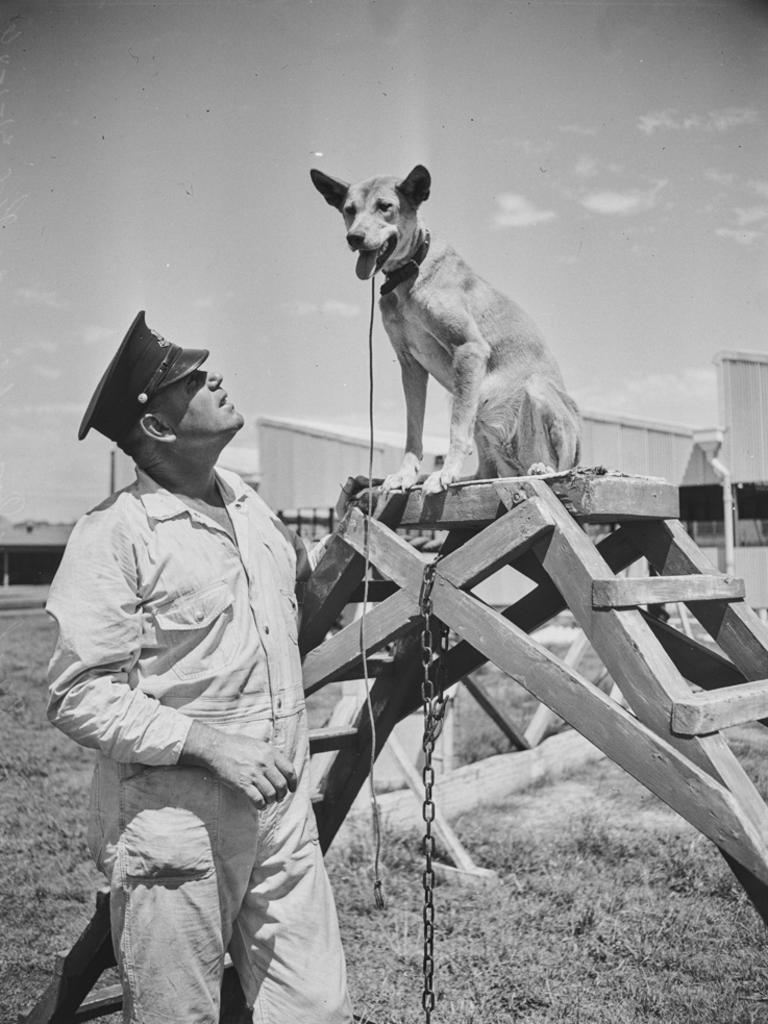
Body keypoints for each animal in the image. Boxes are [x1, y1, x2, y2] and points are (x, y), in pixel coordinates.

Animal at [309, 163, 581, 495]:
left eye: (385, 206)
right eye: (349, 210)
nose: (355, 237)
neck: (408, 274)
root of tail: (516, 465)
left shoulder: (469, 349)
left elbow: (456, 429)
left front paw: (445, 472)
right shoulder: (410, 364)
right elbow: (413, 429)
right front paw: (406, 475)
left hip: (532, 389)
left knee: (566, 466)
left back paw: (542, 468)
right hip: (474, 403)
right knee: (485, 471)